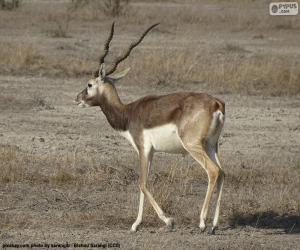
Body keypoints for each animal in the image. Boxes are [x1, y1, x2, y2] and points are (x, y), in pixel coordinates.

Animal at [74, 23, 225, 234]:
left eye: (89, 84)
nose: (77, 98)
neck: (128, 113)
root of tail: (215, 103)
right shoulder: (151, 151)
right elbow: (142, 185)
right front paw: (136, 224)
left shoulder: (142, 148)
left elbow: (142, 183)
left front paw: (168, 221)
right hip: (212, 145)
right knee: (222, 173)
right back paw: (214, 225)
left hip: (193, 145)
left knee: (213, 171)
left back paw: (202, 222)